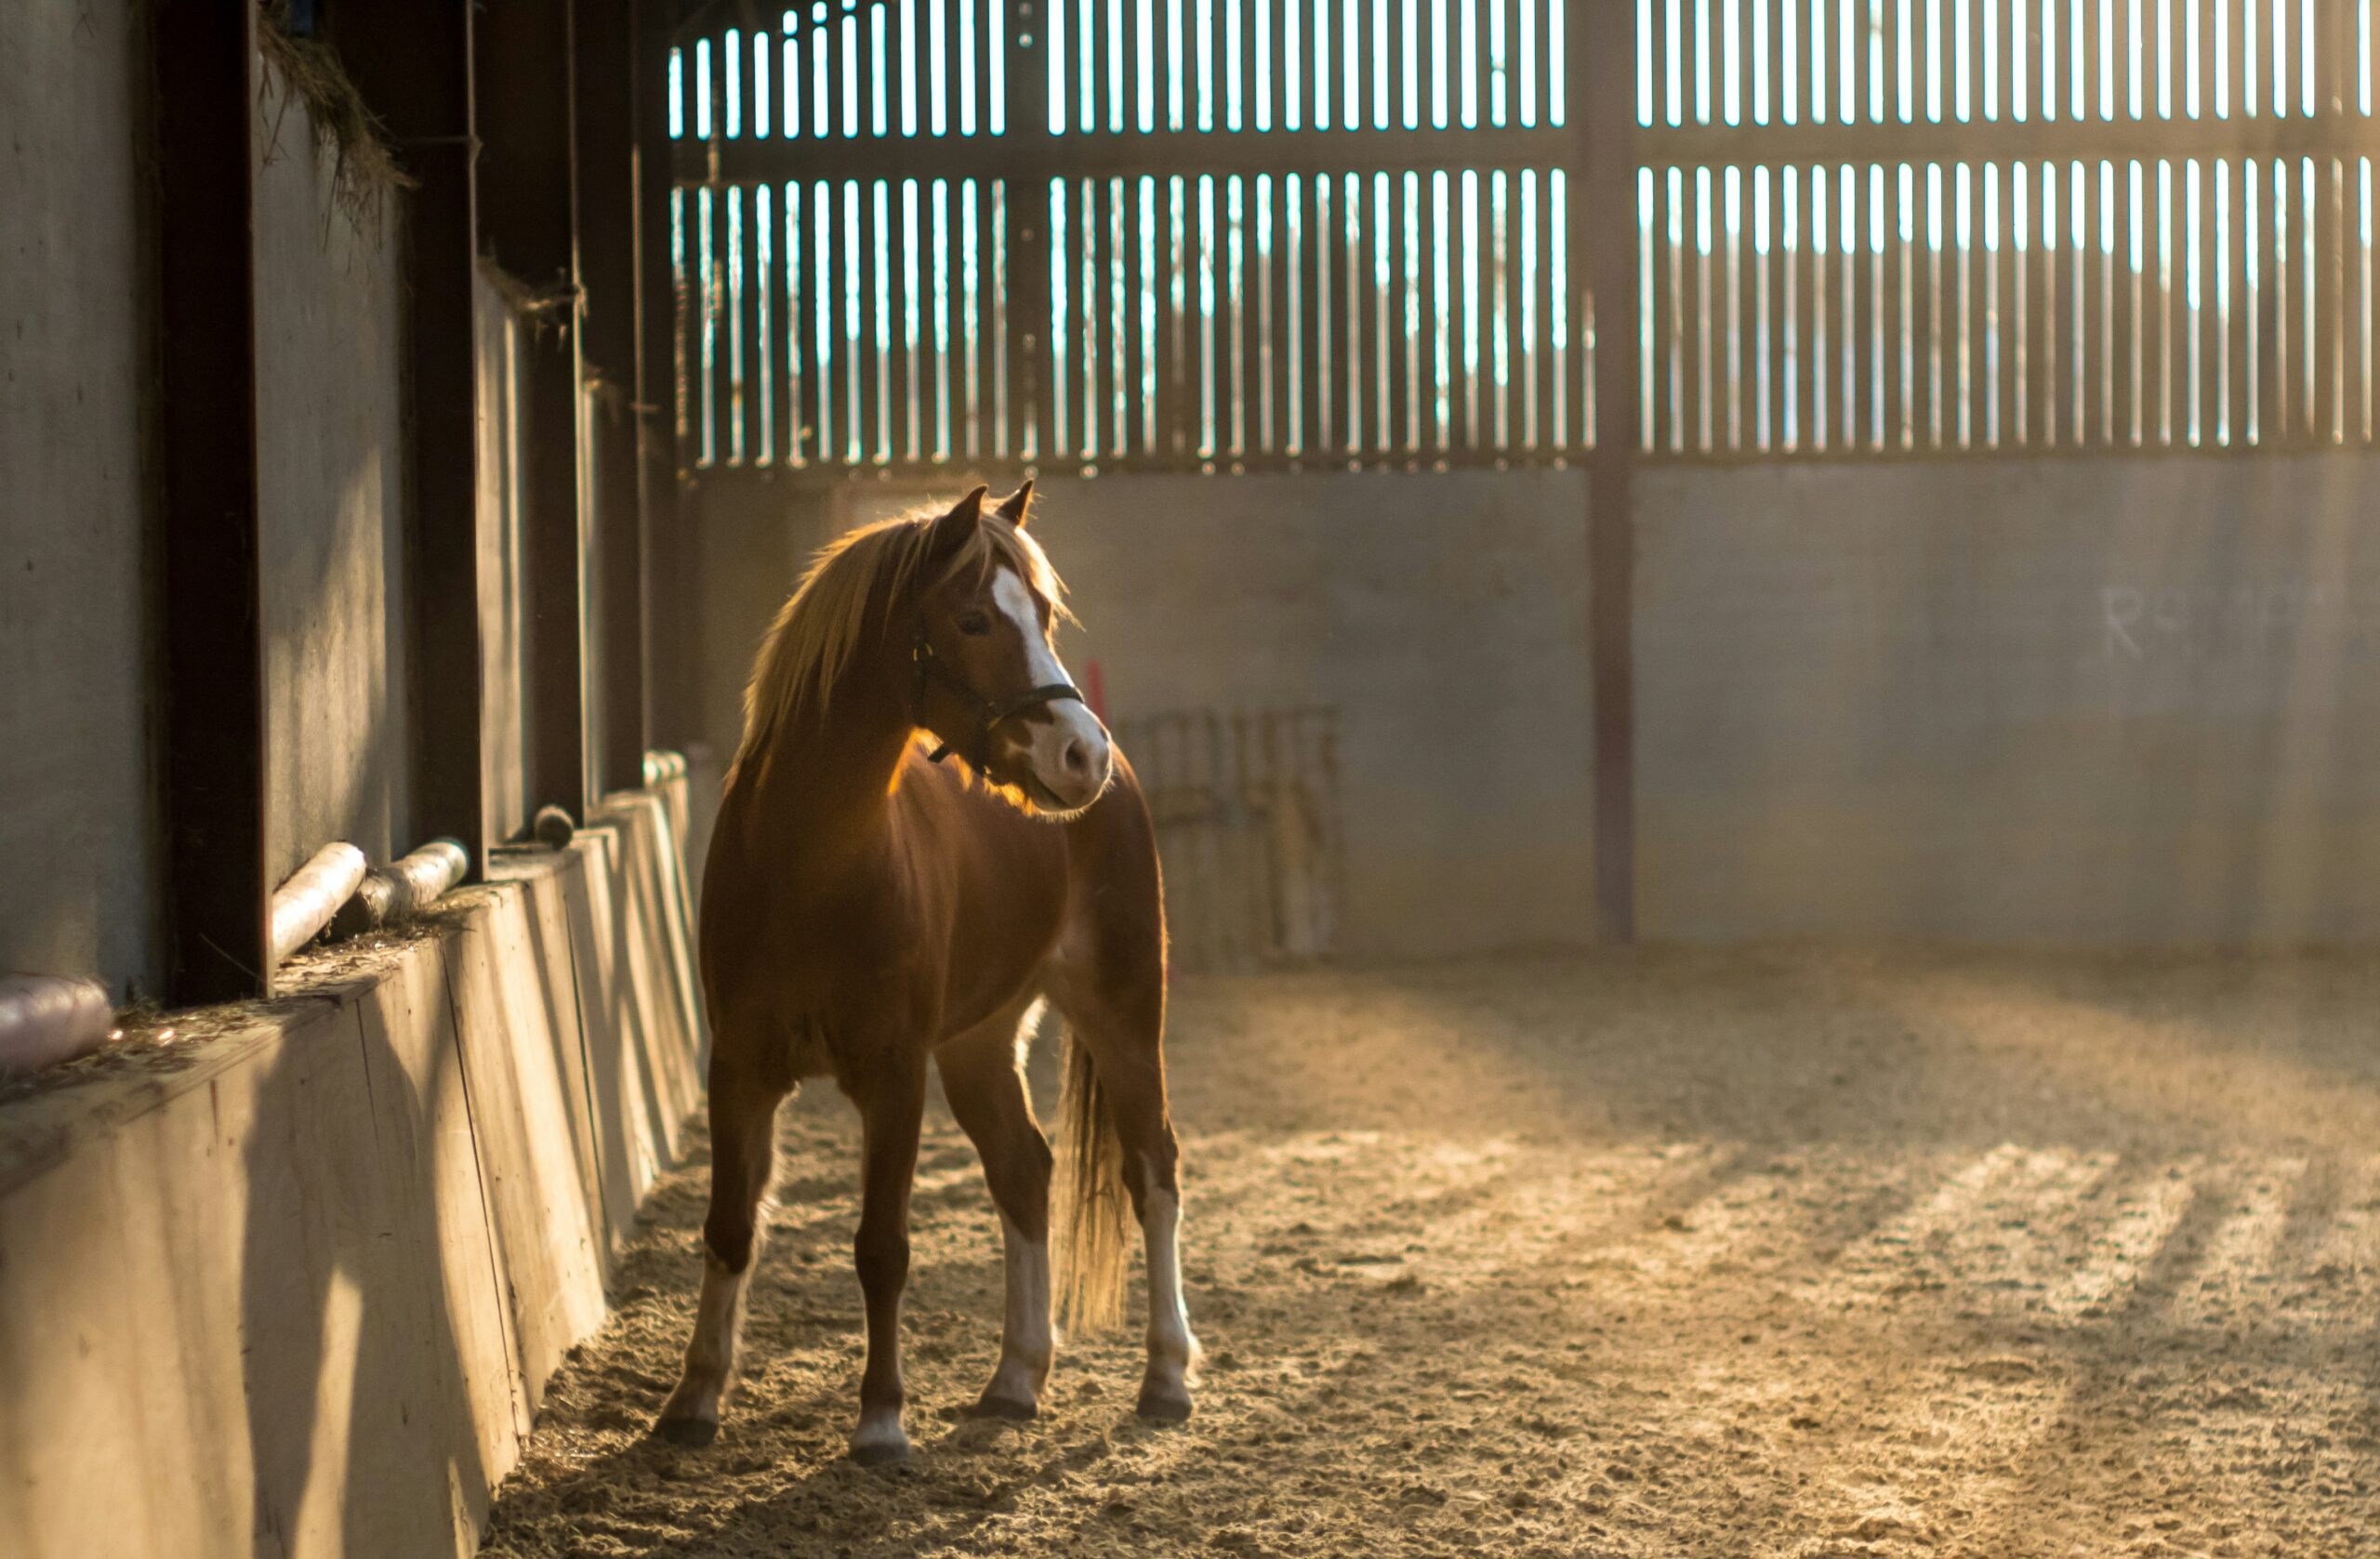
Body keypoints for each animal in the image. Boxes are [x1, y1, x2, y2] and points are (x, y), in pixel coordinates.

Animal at [654, 482, 1197, 1464]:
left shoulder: (894, 1074)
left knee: (1153, 1170)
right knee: (1025, 1170)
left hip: (1125, 1018)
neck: (811, 862)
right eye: (975, 619)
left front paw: (880, 1419)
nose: (1080, 753)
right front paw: (694, 1398)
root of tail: (1126, 781)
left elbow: (882, 1246)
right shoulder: (739, 1069)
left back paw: (1166, 1376)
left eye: (1045, 615)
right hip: (979, 1048)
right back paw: (1016, 1378)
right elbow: (728, 1228)